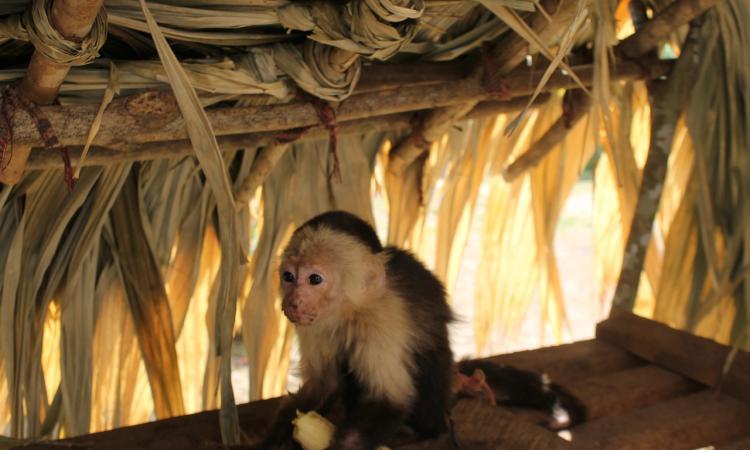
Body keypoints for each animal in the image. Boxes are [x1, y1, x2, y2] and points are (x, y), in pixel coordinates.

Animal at [260, 211, 588, 450]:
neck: (351, 310)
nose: (293, 301)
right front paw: (276, 438)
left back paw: (423, 430)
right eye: (289, 276)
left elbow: (390, 398)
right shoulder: (313, 325)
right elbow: (322, 384)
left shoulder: (384, 321)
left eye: (315, 279)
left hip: (440, 378)